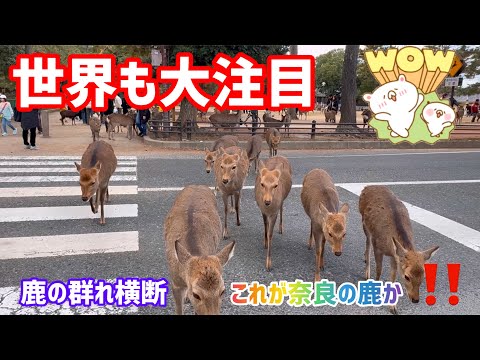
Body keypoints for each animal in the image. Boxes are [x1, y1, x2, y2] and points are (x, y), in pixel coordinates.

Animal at [358, 186, 440, 316]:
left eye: (424, 276)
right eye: (407, 277)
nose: (415, 299)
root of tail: (368, 187)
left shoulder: (395, 256)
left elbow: (393, 276)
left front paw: (393, 307)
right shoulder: (378, 247)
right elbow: (379, 270)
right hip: (365, 224)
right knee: (367, 243)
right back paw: (367, 271)